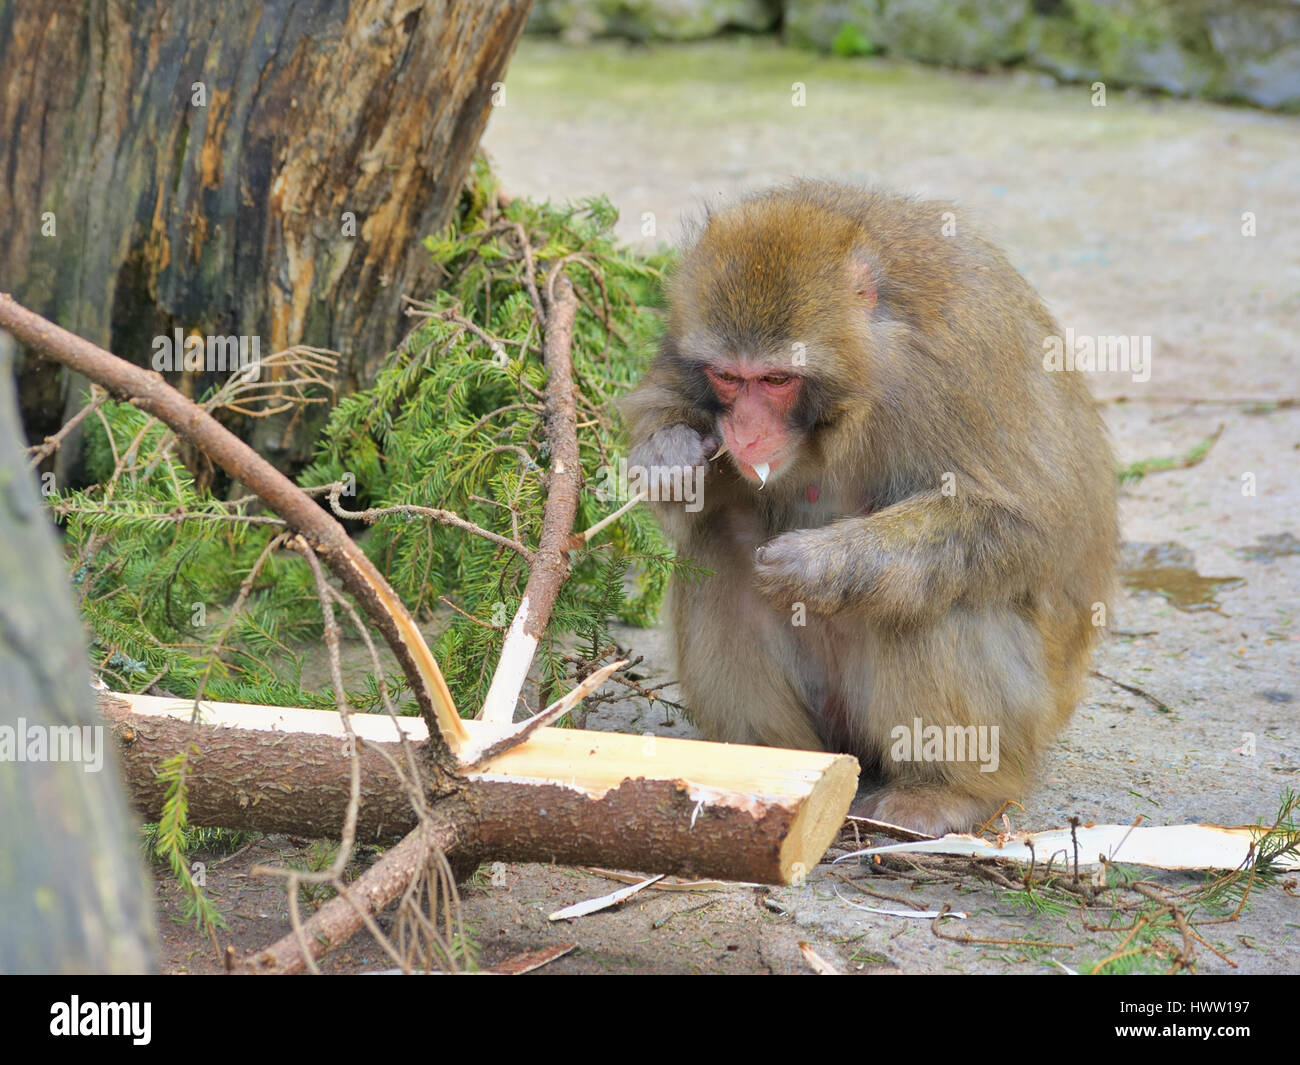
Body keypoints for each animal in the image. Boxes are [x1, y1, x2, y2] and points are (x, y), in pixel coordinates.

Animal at [619, 182, 1117, 837]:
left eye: (776, 379)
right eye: (728, 377)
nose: (745, 435)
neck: (869, 369)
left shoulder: (963, 359)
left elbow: (1029, 524)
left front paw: (820, 564)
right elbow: (677, 447)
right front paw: (668, 454)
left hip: (1027, 715)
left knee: (935, 595)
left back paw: (944, 793)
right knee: (721, 541)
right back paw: (772, 765)